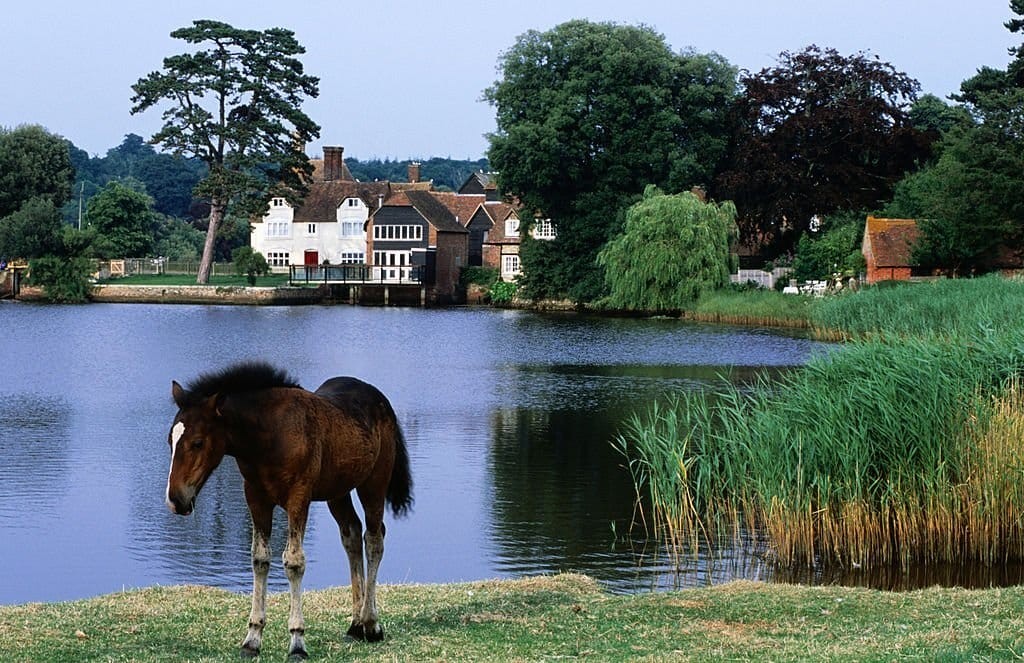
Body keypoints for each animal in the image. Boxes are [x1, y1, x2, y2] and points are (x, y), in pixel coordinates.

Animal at [163, 362, 411, 659]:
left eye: (198, 442)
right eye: (170, 440)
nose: (176, 499)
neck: (270, 435)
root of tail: (380, 398)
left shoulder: (298, 498)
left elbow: (293, 561)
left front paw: (297, 642)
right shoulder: (255, 497)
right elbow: (259, 559)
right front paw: (252, 639)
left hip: (373, 483)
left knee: (374, 539)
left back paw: (371, 624)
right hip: (338, 492)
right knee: (352, 534)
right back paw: (355, 625)